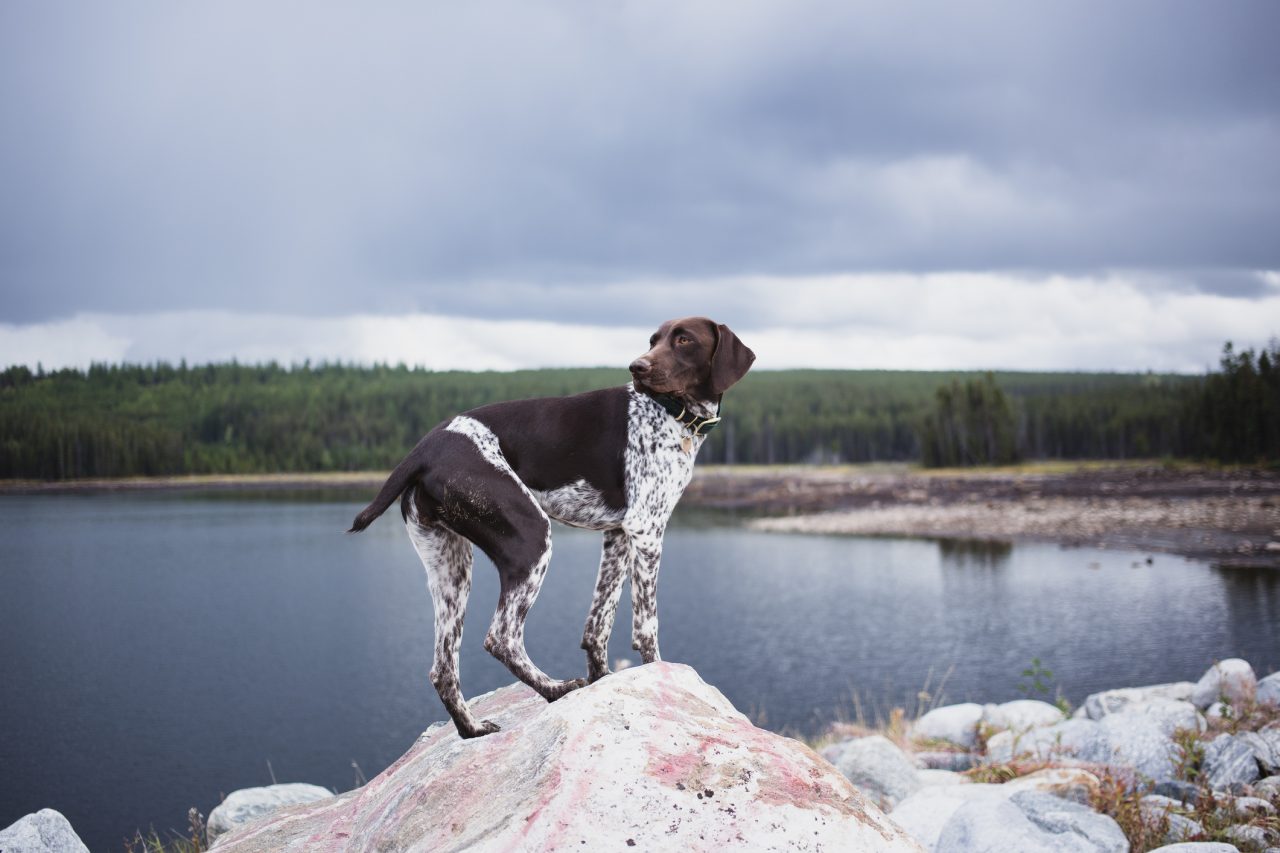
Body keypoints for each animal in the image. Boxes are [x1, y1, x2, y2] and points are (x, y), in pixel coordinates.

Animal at [345, 315, 752, 732]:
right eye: (654, 340)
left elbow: (598, 624)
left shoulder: (618, 536)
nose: (636, 367)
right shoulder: (647, 530)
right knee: (501, 638)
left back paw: (473, 731)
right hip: (531, 539)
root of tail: (423, 449)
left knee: (442, 668)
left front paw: (602, 680)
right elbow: (646, 627)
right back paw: (556, 689)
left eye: (683, 339)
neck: (671, 413)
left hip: (451, 569)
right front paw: (655, 675)